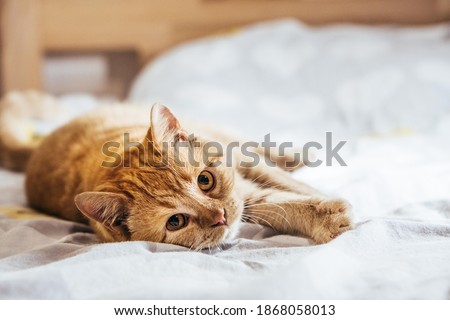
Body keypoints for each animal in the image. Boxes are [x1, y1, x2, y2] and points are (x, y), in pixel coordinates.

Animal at [24, 101, 352, 249]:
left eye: (205, 180)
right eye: (176, 222)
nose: (220, 216)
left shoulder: (246, 170)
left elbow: (289, 185)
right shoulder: (248, 198)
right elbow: (276, 203)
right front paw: (326, 217)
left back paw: (298, 155)